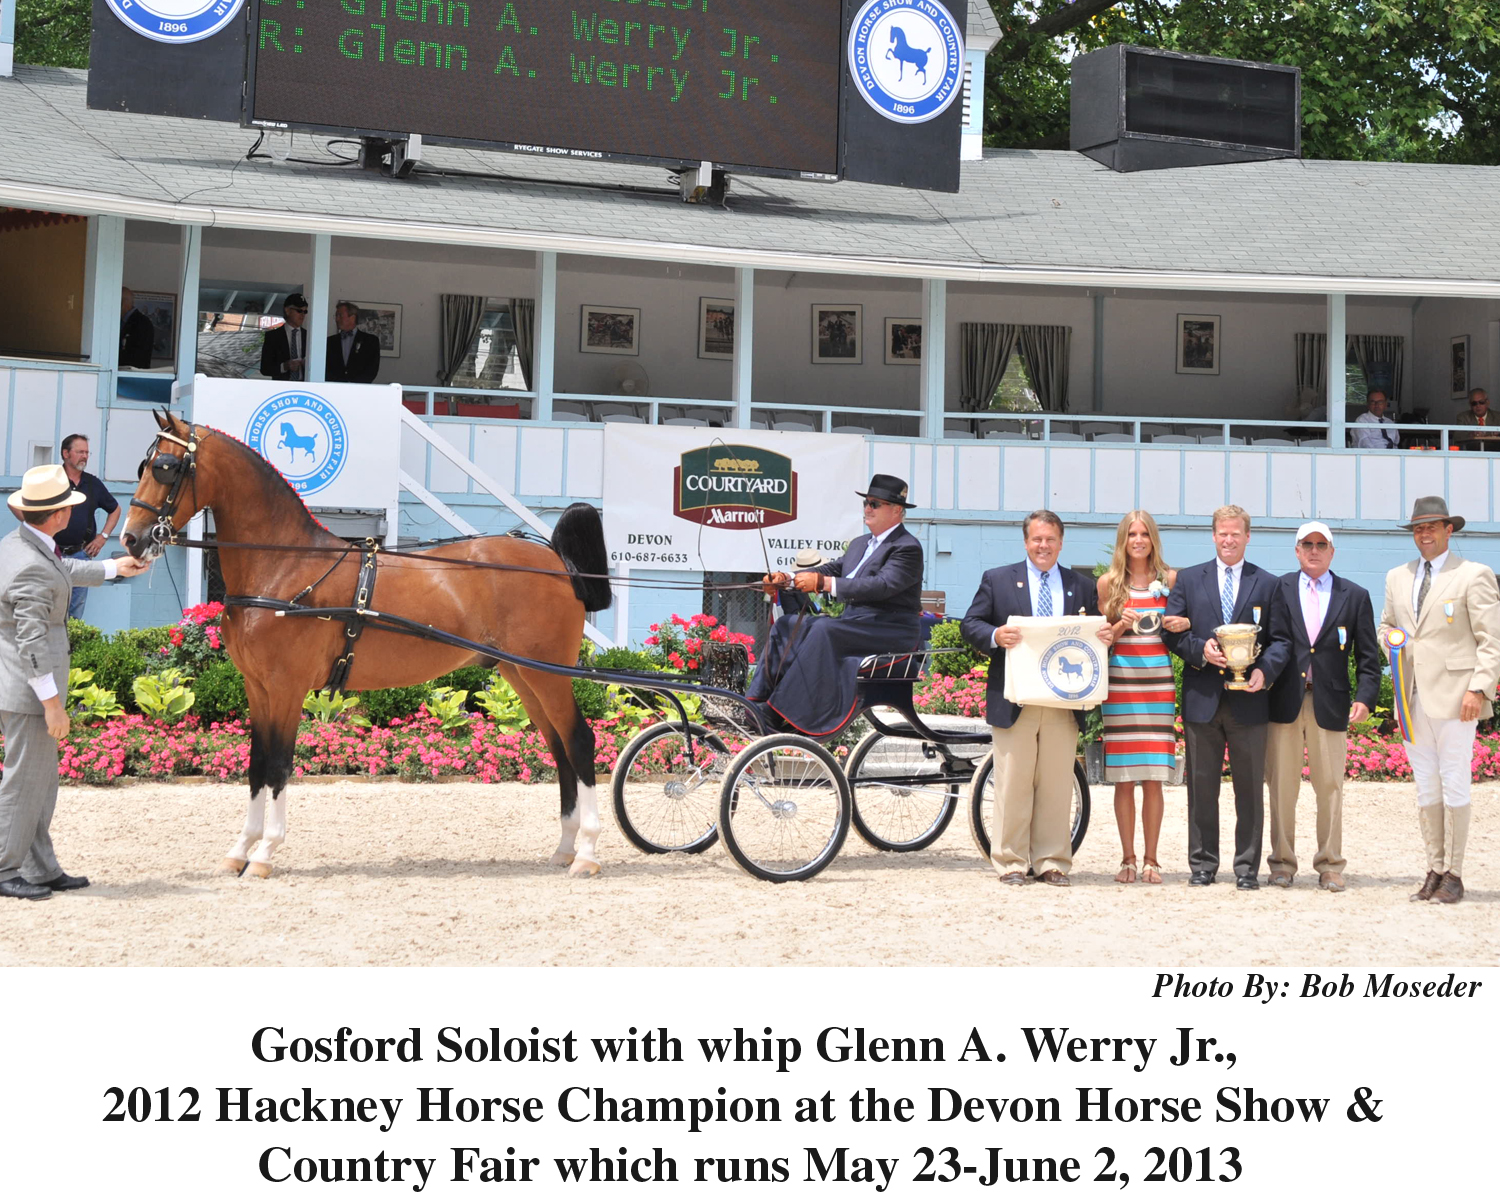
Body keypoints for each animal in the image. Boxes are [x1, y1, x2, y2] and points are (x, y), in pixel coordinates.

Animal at [120, 414, 615, 882]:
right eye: (143, 466)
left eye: (166, 468)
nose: (131, 539)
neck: (285, 565)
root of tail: (556, 560)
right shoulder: (257, 688)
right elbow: (257, 765)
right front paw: (240, 850)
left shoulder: (286, 688)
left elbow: (278, 765)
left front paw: (264, 854)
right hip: (522, 674)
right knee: (558, 746)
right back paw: (565, 847)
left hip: (546, 673)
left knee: (578, 740)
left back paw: (587, 853)